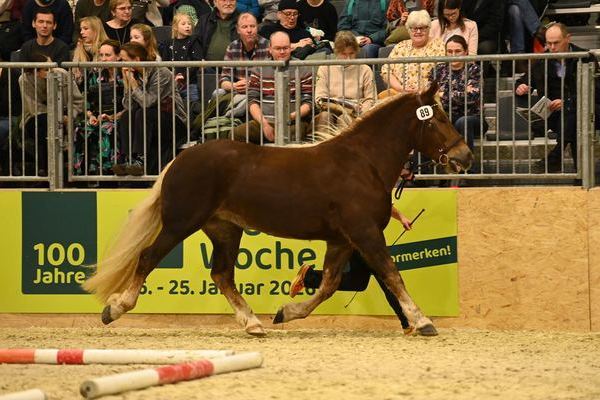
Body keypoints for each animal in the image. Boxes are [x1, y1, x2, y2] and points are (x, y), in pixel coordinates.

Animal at [82, 83, 474, 338]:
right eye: (435, 119)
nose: (465, 156)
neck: (363, 163)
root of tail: (179, 159)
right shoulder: (365, 233)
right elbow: (392, 275)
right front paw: (423, 321)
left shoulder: (342, 240)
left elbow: (328, 284)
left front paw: (286, 312)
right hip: (181, 223)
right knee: (148, 258)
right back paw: (113, 309)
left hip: (225, 229)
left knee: (222, 274)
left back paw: (254, 324)